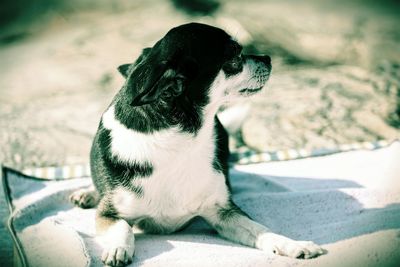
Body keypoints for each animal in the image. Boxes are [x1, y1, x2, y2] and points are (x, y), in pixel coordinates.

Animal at [70, 22, 324, 266]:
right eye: (235, 57)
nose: (267, 58)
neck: (181, 141)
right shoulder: (109, 214)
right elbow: (122, 228)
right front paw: (118, 249)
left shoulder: (223, 212)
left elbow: (261, 230)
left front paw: (292, 244)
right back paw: (88, 193)